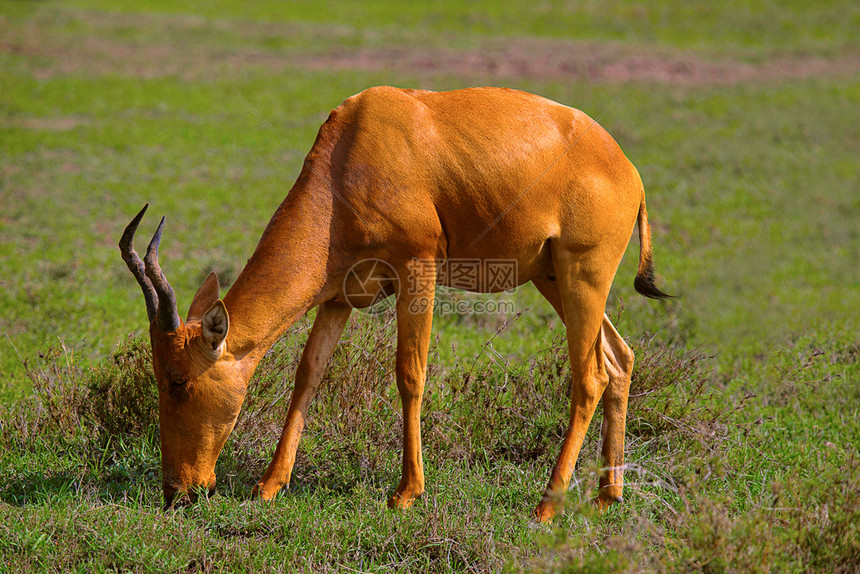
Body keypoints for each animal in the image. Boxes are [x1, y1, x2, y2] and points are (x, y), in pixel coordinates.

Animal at [121, 85, 668, 520]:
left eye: (177, 380)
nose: (178, 492)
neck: (354, 148)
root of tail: (628, 169)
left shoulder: (417, 267)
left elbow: (410, 373)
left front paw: (407, 493)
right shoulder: (340, 295)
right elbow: (309, 373)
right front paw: (270, 486)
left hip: (582, 276)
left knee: (590, 376)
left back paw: (547, 505)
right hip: (552, 277)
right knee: (619, 360)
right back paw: (608, 495)